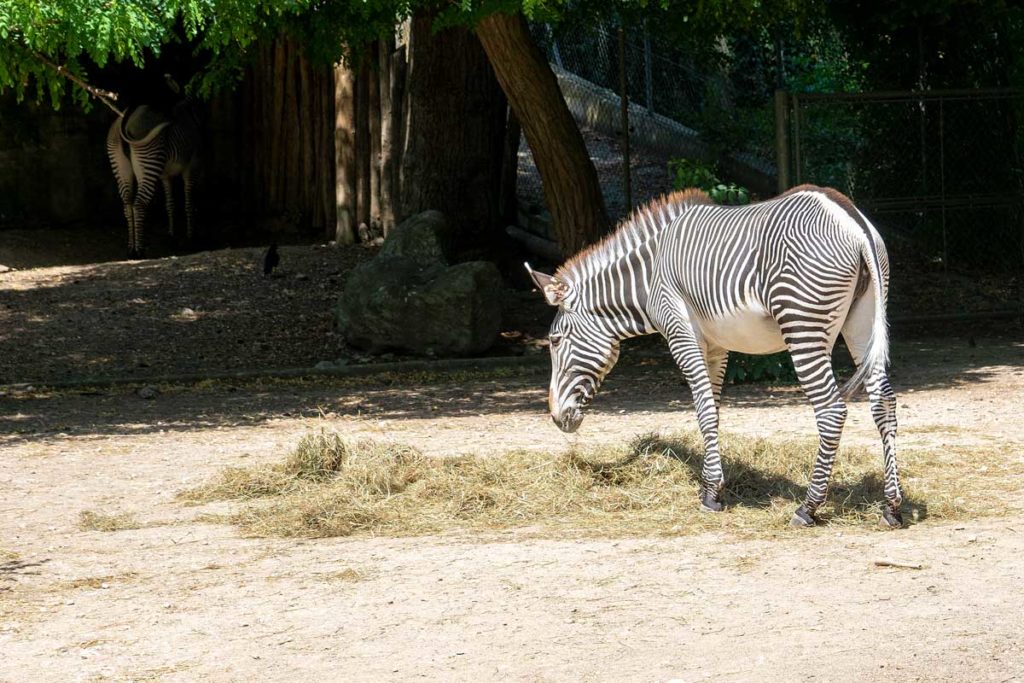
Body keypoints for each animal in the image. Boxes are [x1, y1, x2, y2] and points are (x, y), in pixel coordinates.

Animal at [106, 74, 201, 255]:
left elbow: (170, 204)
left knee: (127, 202)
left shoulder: (165, 175)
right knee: (139, 204)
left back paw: (131, 247)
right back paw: (139, 250)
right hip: (149, 163)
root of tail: (126, 119)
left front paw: (172, 234)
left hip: (120, 165)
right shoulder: (191, 166)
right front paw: (191, 237)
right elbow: (189, 203)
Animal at [528, 185, 905, 528]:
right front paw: (716, 484)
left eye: (555, 341)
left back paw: (807, 508)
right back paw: (892, 507)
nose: (557, 418)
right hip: (863, 321)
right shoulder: (717, 345)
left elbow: (704, 412)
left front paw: (711, 493)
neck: (649, 276)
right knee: (884, 403)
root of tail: (852, 220)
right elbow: (714, 410)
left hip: (803, 325)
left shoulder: (680, 333)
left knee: (831, 410)